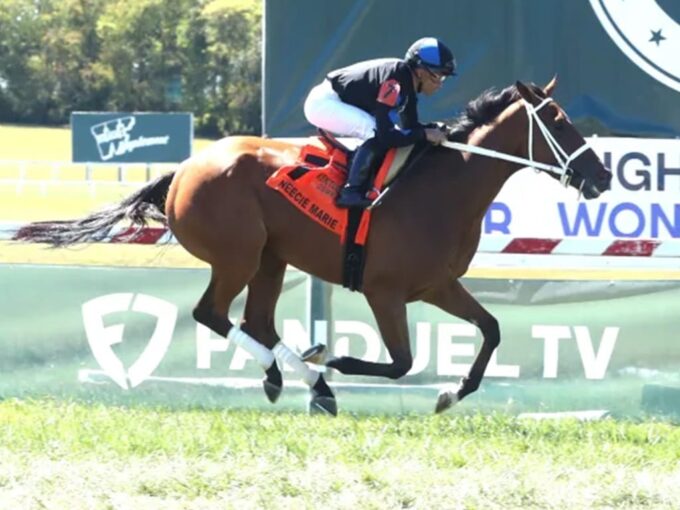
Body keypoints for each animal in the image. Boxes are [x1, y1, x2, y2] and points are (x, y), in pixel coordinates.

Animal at [15, 78, 612, 414]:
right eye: (559, 121)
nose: (602, 176)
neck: (441, 188)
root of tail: (185, 168)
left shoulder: (437, 284)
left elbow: (490, 329)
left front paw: (450, 393)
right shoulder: (384, 291)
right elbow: (401, 361)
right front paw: (337, 356)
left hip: (271, 258)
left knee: (254, 320)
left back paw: (300, 378)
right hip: (238, 255)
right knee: (212, 314)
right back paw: (306, 375)